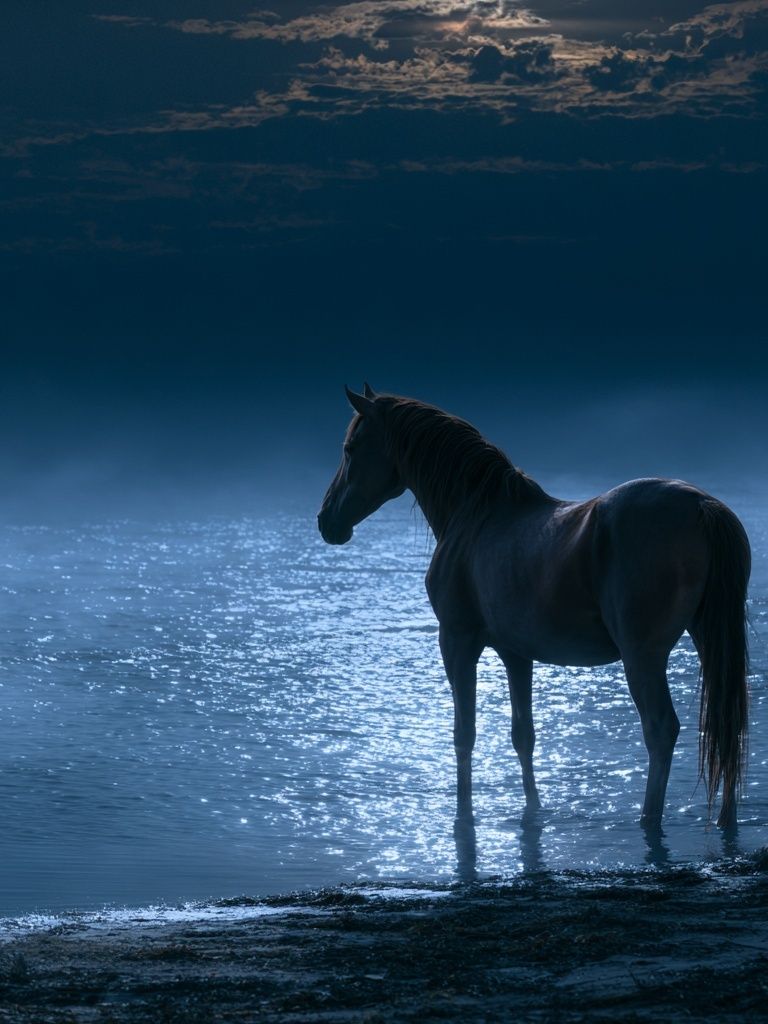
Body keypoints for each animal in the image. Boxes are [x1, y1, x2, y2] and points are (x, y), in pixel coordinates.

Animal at [317, 385, 750, 830]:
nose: (326, 520)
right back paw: (725, 819)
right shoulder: (516, 654)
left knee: (661, 730)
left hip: (642, 656)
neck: (475, 516)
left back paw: (649, 818)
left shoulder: (457, 642)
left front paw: (463, 814)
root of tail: (700, 506)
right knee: (726, 720)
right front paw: (533, 808)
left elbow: (464, 733)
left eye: (350, 448)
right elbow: (523, 735)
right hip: (707, 638)